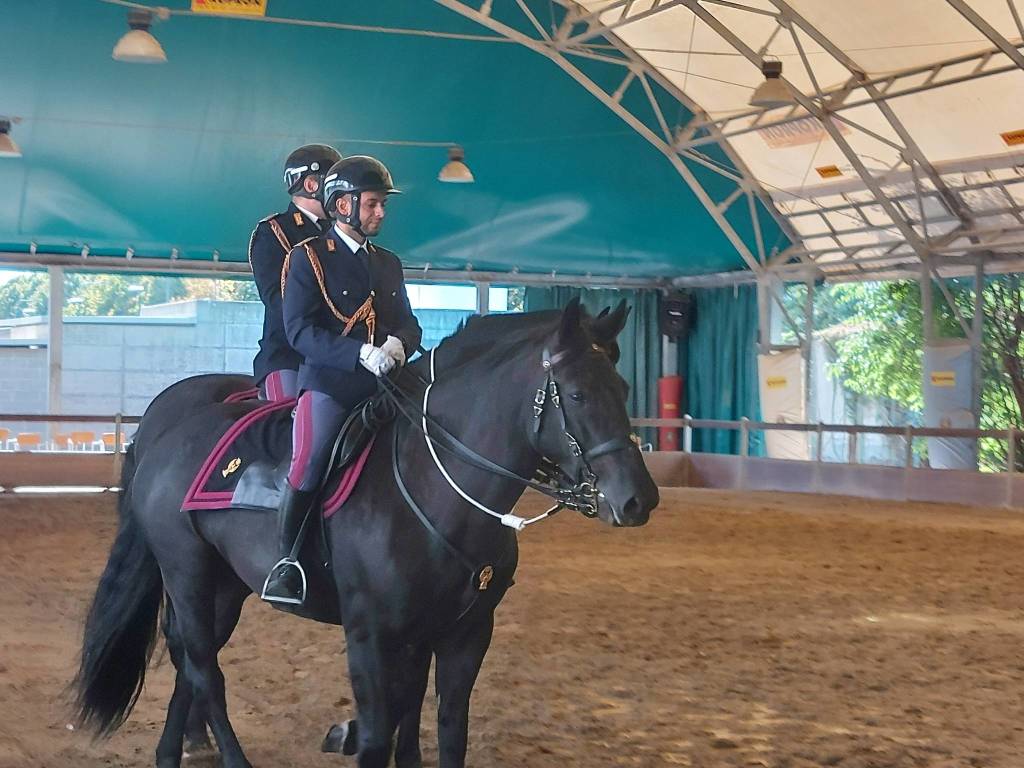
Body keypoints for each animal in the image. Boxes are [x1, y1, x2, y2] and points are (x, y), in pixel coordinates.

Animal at [75, 303, 659, 768]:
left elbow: (444, 727)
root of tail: (165, 434)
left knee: (189, 661)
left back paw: (172, 752)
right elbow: (380, 737)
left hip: (225, 586)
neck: (435, 489)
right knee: (202, 667)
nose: (639, 499)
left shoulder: (462, 633)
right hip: (187, 572)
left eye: (625, 389)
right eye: (577, 394)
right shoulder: (371, 638)